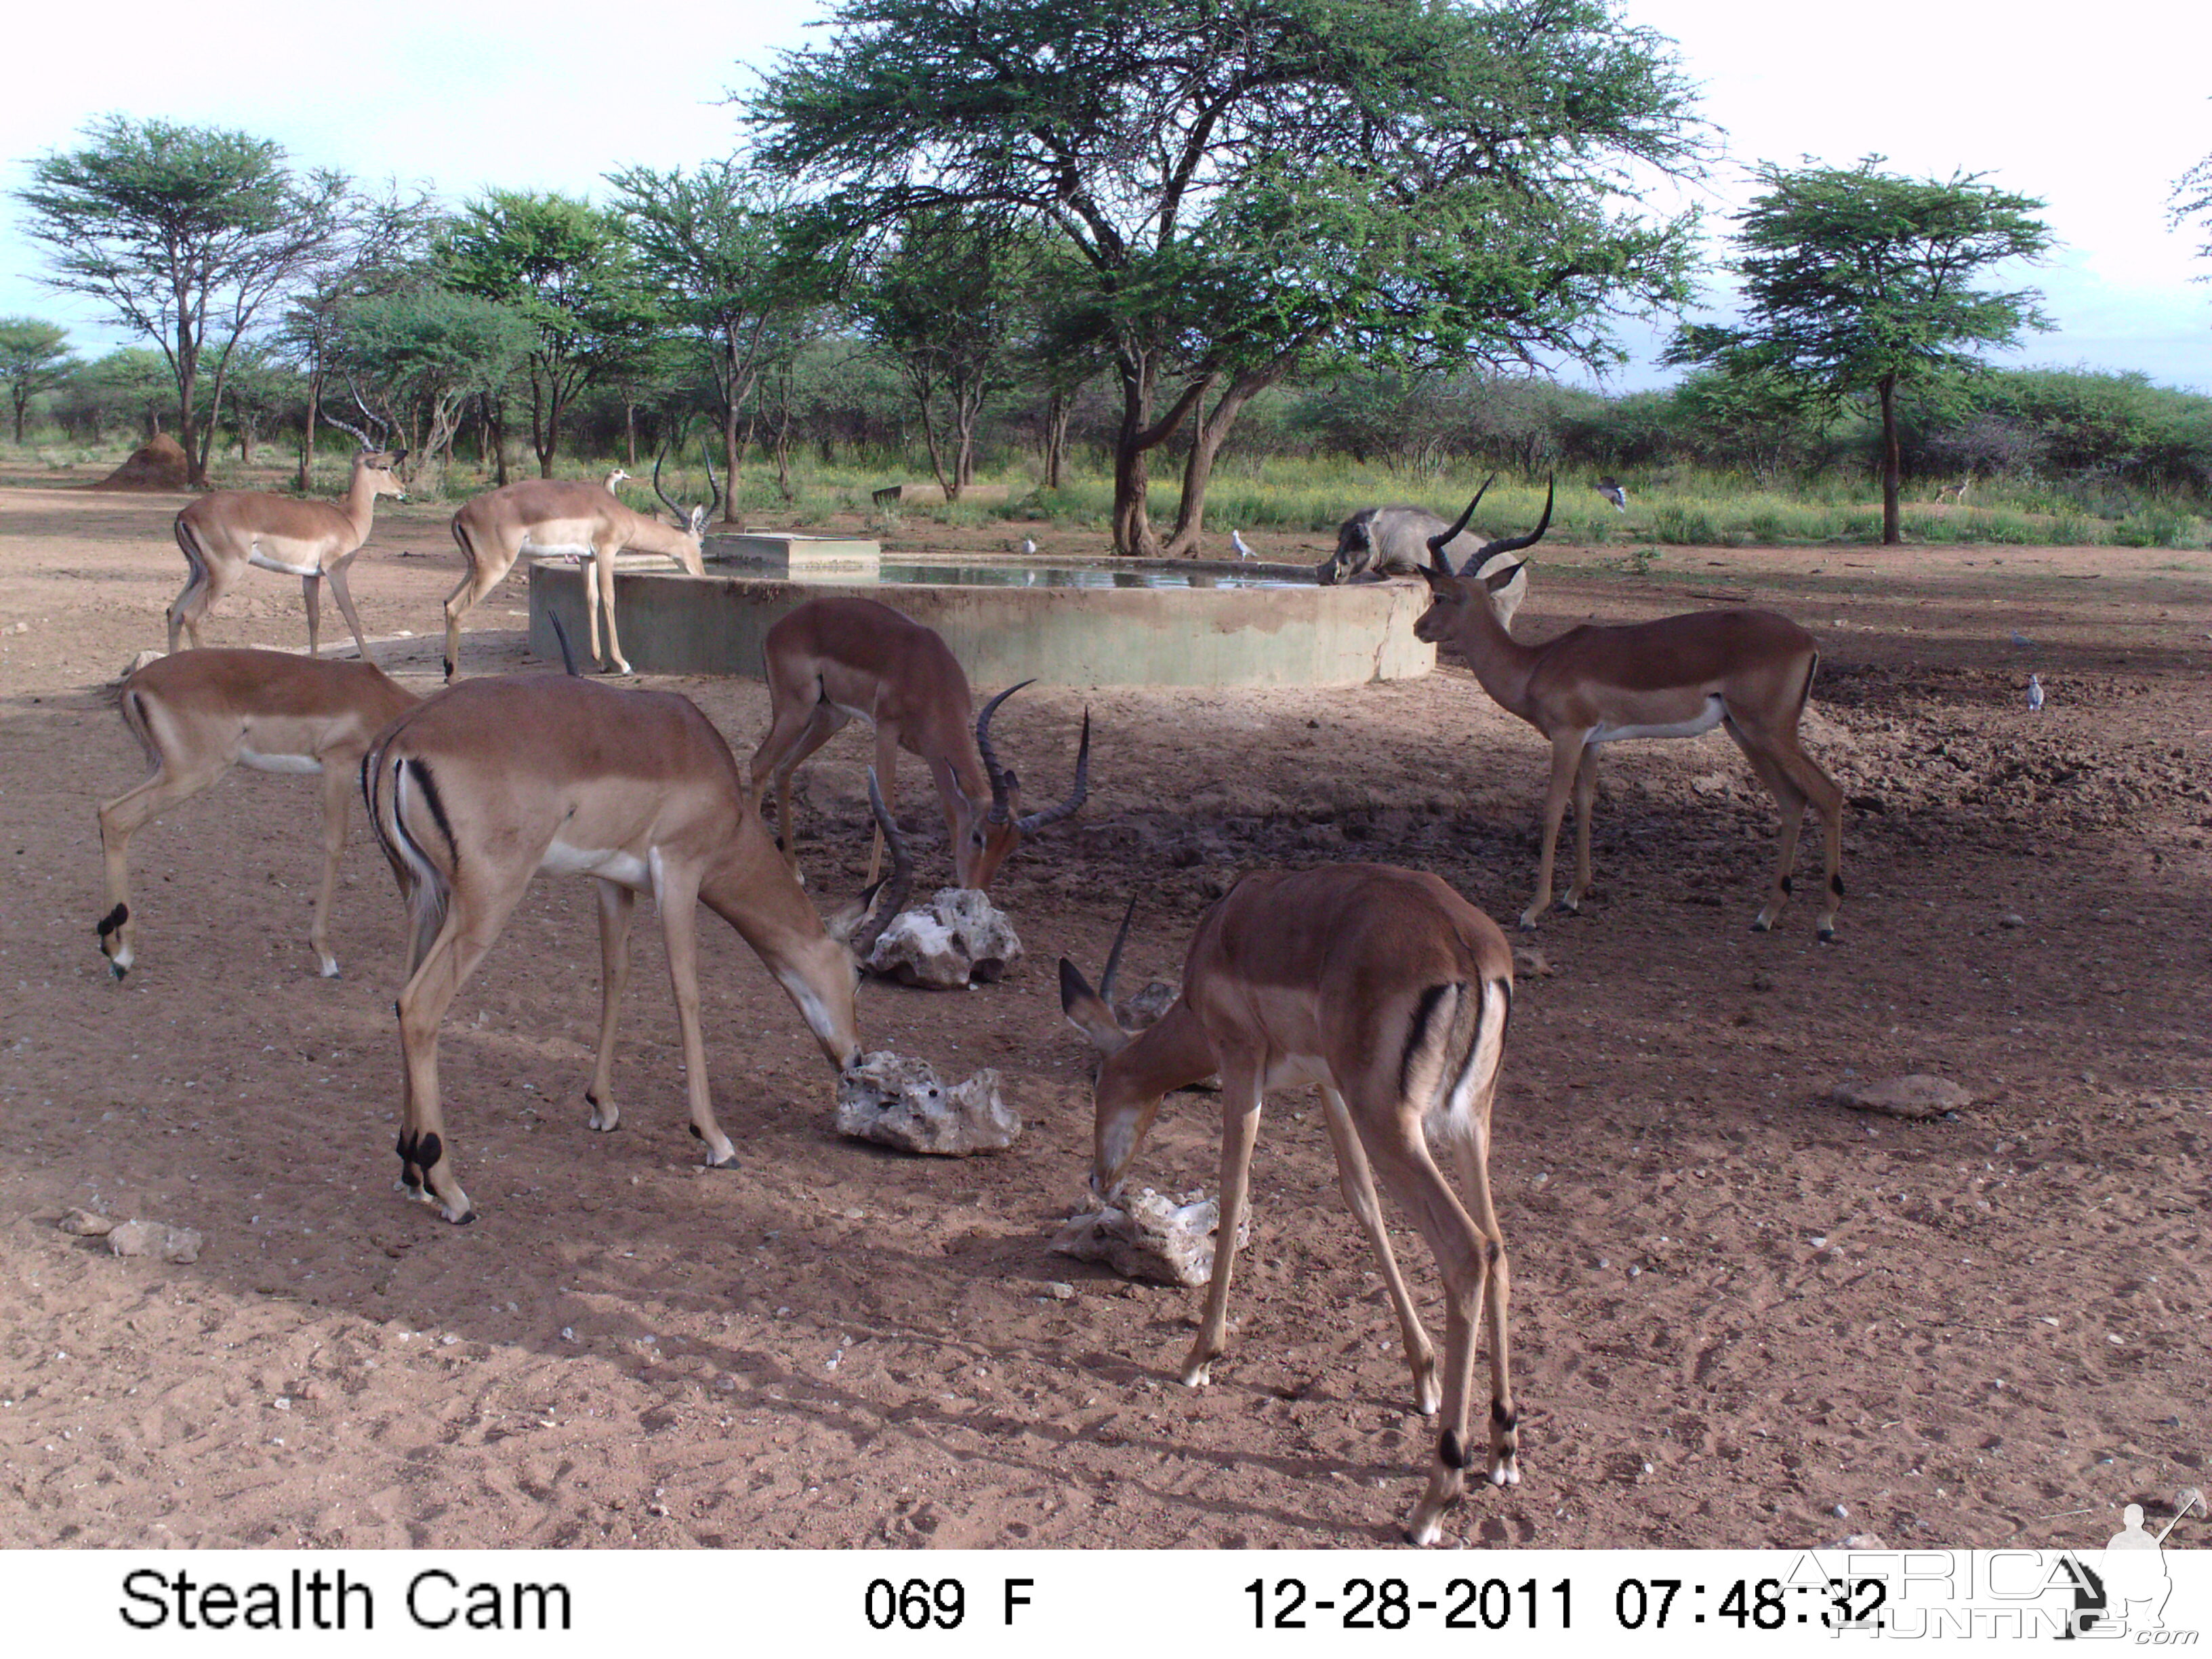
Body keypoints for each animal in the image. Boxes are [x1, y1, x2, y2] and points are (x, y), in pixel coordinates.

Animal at [361, 668, 907, 1229]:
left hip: (424, 899)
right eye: (859, 972)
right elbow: (687, 993)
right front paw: (715, 1140)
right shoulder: (680, 874)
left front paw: (602, 1106)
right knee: (419, 1007)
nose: (855, 1057)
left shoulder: (611, 882)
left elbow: (615, 975)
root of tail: (399, 742)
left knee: (401, 999)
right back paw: (452, 1191)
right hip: (485, 904)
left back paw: (411, 1173)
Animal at [445, 451, 721, 676]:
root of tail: (459, 515)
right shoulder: (607, 552)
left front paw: (600, 662)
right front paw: (623, 664)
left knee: (448, 603)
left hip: (474, 568)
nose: (702, 573)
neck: (619, 513)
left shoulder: (587, 558)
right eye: (701, 543)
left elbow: (591, 598)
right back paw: (452, 678)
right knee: (458, 610)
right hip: (494, 568)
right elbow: (609, 598)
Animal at [752, 597, 1088, 898]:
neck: (931, 675)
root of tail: (779, 627)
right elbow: (885, 805)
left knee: (783, 768)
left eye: (1010, 847)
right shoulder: (886, 729)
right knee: (760, 763)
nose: (975, 890)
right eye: (977, 836)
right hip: (796, 710)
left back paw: (794, 872)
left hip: (830, 717)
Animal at [1057, 872, 1521, 1548]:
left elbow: (1233, 1189)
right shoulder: (1327, 1084)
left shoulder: (1241, 1065)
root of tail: (1467, 952)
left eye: (1098, 1078)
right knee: (1498, 1245)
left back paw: (1435, 1501)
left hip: (1396, 1125)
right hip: (1468, 1124)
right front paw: (1424, 1378)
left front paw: (1200, 1357)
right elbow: (1360, 1200)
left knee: (1468, 1251)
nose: (1098, 1177)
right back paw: (1503, 1446)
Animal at [1415, 484, 1849, 946]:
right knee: (1792, 801)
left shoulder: (1567, 736)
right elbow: (1585, 802)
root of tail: (1808, 641)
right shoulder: (1592, 741)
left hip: (1771, 732)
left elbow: (1553, 808)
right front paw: (1573, 896)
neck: (1535, 665)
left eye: (1440, 596)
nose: (1419, 629)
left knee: (1829, 794)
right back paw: (1767, 914)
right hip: (1746, 733)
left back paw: (1826, 919)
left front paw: (1534, 910)